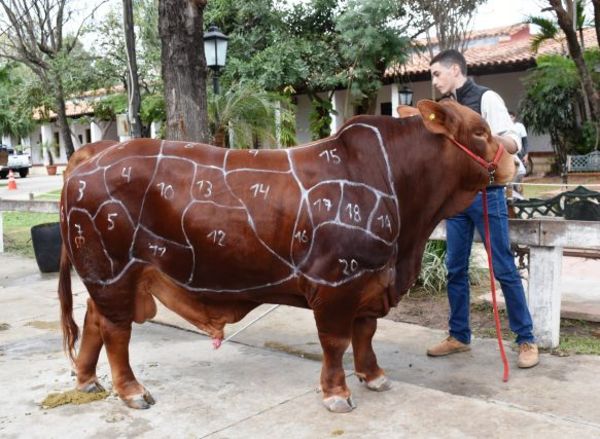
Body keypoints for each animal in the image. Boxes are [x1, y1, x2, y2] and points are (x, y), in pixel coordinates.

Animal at [58, 99, 512, 412]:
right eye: (480, 131)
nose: (512, 159)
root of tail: (91, 155)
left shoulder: (369, 280)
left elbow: (364, 334)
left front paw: (374, 376)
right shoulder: (336, 284)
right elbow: (336, 341)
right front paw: (336, 393)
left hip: (108, 278)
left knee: (94, 321)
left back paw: (86, 380)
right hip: (113, 272)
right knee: (116, 331)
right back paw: (131, 391)